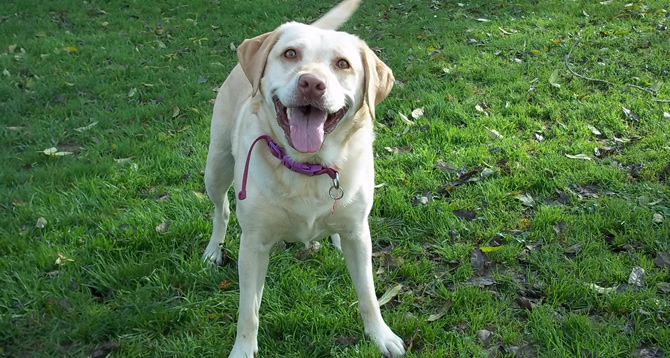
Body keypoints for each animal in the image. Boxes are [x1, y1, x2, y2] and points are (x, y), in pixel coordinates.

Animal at [202, 1, 404, 356]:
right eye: (290, 53)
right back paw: (214, 248)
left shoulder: (359, 235)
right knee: (221, 210)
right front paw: (243, 349)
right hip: (216, 166)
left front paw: (381, 335)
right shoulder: (253, 245)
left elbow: (368, 294)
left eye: (342, 64)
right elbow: (248, 311)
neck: (309, 167)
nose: (311, 83)